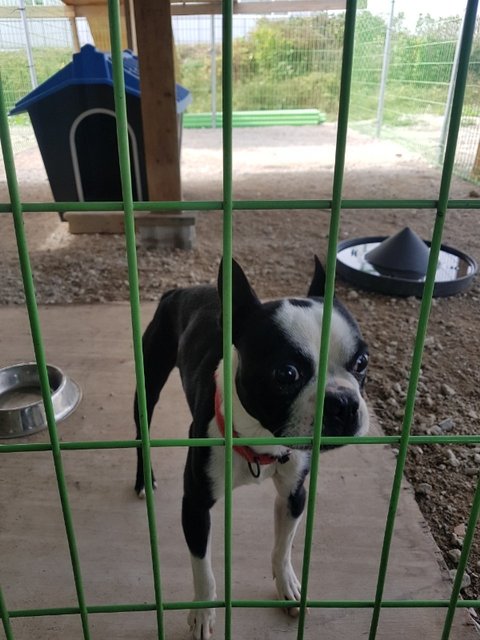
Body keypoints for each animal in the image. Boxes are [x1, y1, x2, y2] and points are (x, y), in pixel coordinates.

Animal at [134, 257, 369, 639]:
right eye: (286, 373)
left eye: (362, 363)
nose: (344, 403)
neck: (261, 441)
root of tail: (181, 289)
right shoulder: (195, 506)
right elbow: (203, 570)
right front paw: (202, 613)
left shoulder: (294, 495)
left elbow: (283, 547)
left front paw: (287, 586)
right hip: (149, 382)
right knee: (142, 428)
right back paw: (144, 479)